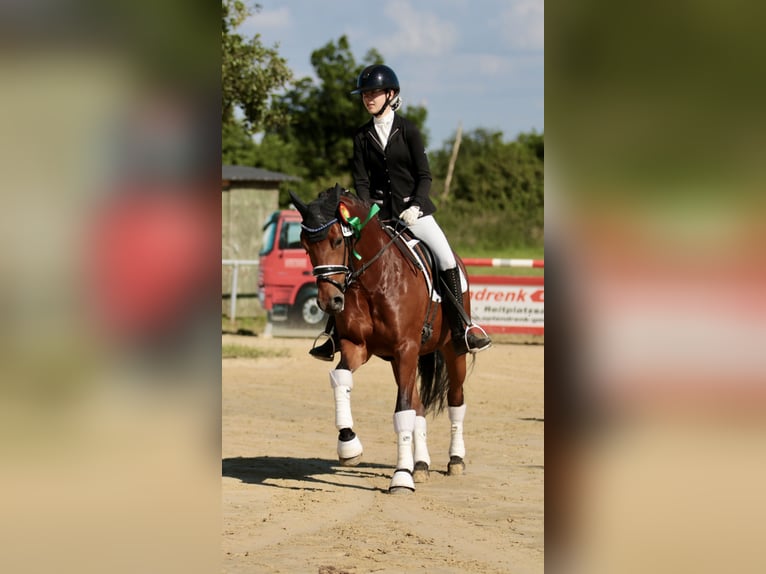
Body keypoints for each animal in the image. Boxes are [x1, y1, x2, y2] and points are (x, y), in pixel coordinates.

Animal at [292, 186, 476, 496]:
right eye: (305, 246)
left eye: (338, 239)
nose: (330, 301)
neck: (374, 280)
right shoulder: (357, 346)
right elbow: (342, 380)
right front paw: (349, 445)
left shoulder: (406, 348)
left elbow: (402, 410)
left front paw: (401, 477)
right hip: (399, 360)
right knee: (419, 407)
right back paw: (421, 465)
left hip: (452, 351)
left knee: (455, 399)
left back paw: (455, 460)